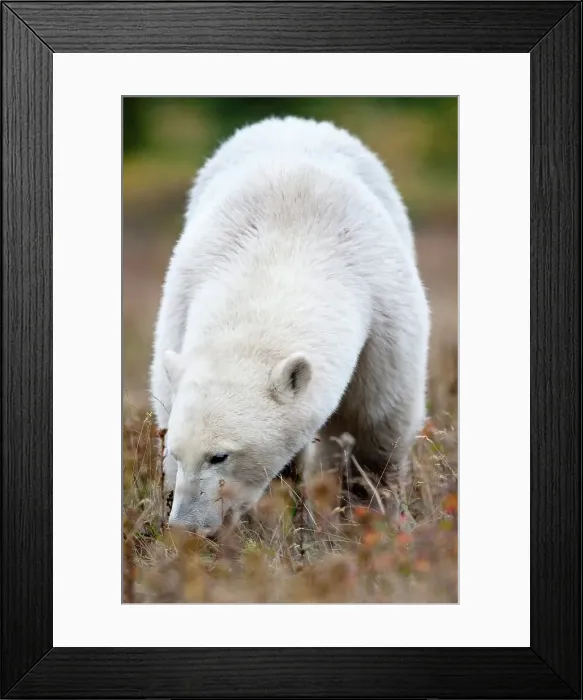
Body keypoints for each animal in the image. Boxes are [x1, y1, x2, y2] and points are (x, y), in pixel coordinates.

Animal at [150, 116, 430, 536]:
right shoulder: (183, 294)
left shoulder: (384, 317)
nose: (187, 526)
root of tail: (292, 120)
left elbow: (374, 424)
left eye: (220, 455)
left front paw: (370, 516)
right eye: (177, 451)